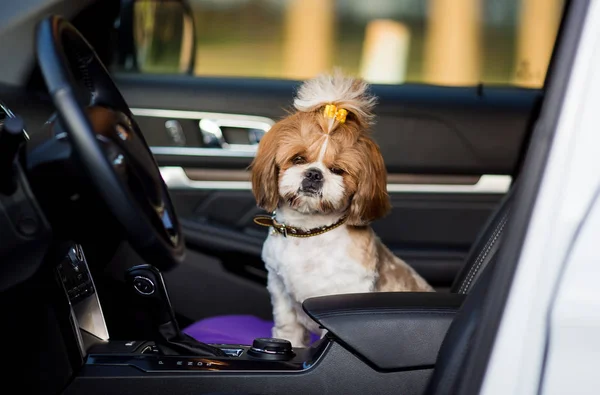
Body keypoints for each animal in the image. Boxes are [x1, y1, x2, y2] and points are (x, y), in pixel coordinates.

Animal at [251, 72, 434, 350]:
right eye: (298, 159)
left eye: (338, 170)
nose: (314, 174)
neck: (309, 232)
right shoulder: (280, 289)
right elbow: (288, 330)